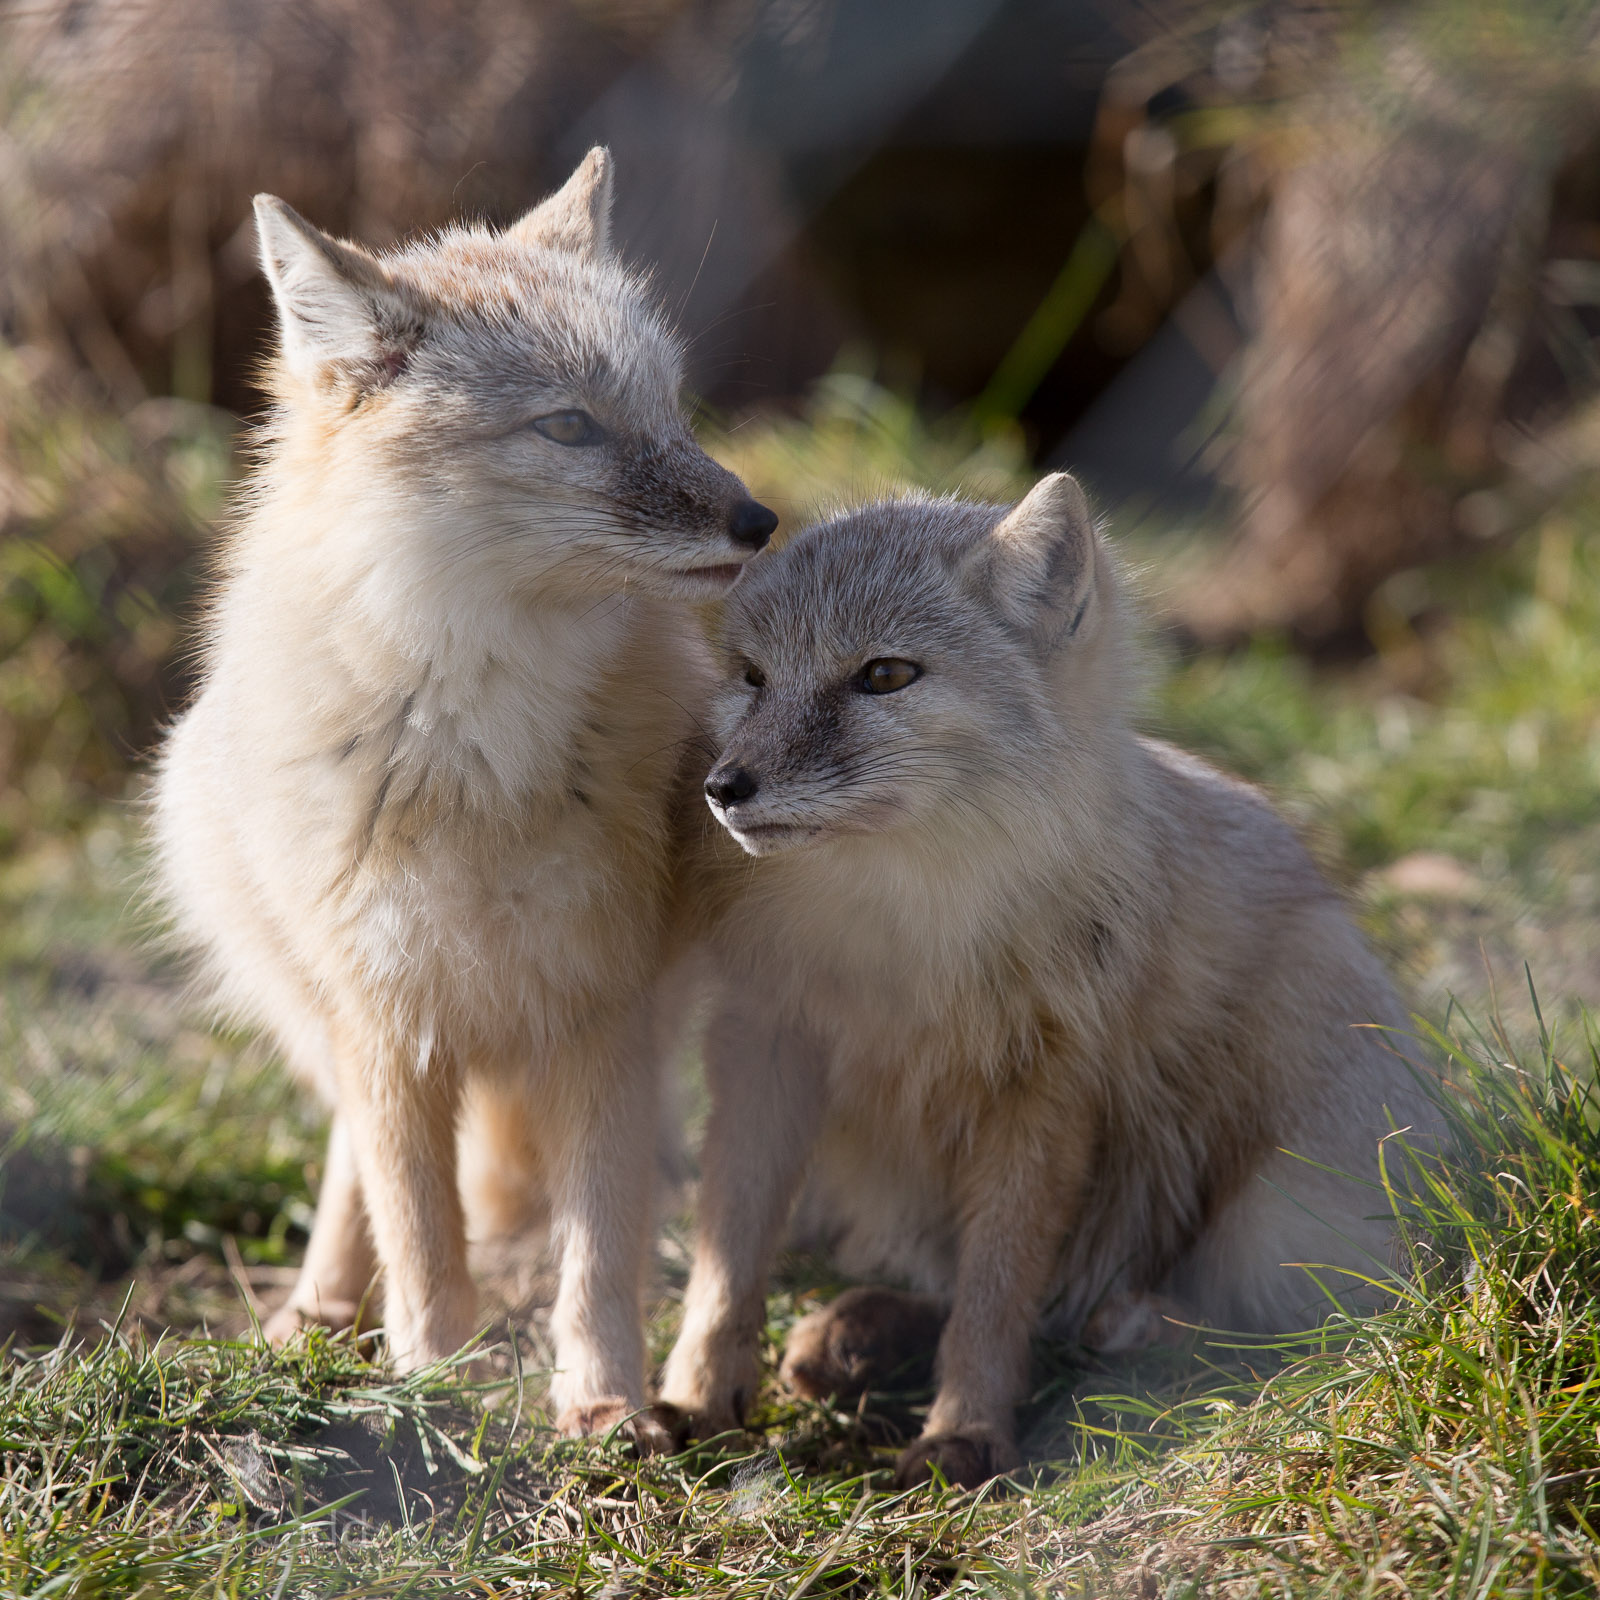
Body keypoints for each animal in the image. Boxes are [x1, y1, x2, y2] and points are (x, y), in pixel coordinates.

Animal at [149, 148, 777, 1445]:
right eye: (570, 425)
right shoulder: (389, 1012)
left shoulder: (600, 1007)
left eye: (672, 408)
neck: (479, 757)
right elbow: (422, 1233)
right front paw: (434, 1384)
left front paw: (603, 1404)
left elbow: (601, 1250)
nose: (760, 521)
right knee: (356, 1164)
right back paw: (319, 1313)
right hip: (344, 1009)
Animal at [657, 475, 1436, 1486]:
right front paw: (694, 1395)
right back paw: (856, 1339)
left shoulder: (1043, 1092)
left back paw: (1136, 1328)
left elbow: (996, 1293)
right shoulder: (765, 1045)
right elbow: (729, 1254)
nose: (724, 788)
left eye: (885, 676)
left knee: (1297, 1318)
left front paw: (965, 1432)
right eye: (752, 677)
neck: (903, 939)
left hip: (1281, 1161)